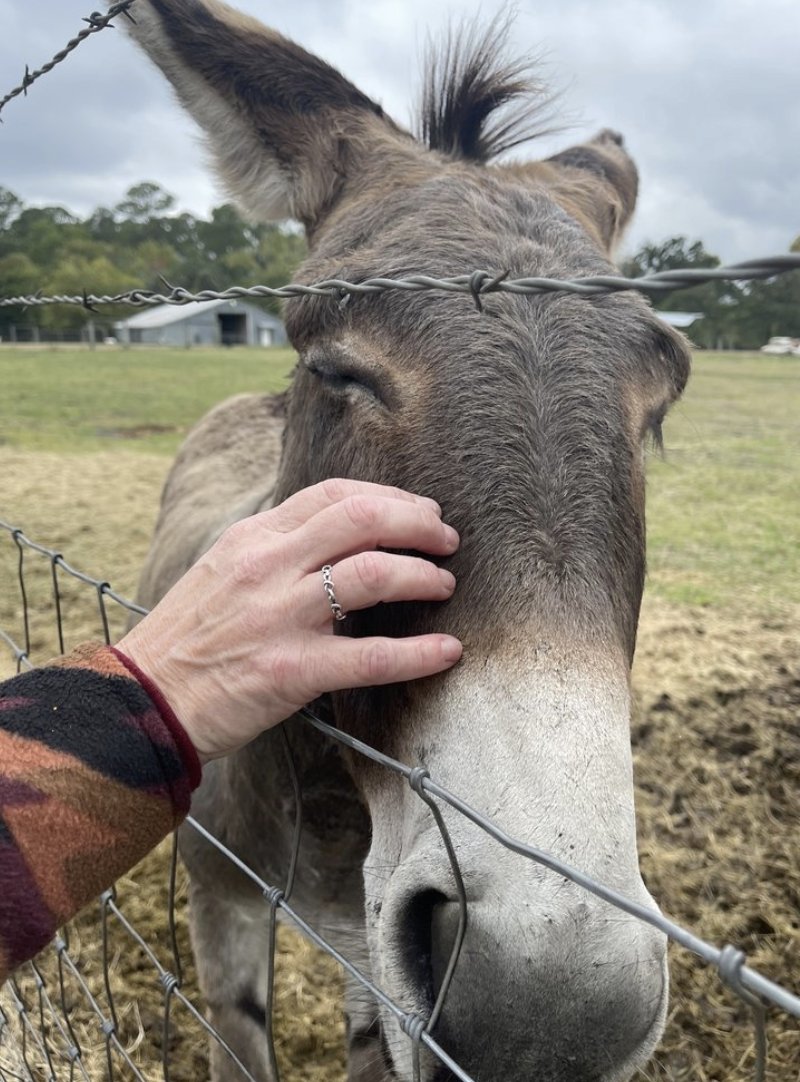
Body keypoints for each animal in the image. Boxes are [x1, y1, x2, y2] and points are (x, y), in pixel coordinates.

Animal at [122, 2, 691, 1079]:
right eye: (335, 369)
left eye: (661, 399)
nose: (551, 1010)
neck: (331, 799)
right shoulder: (220, 897)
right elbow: (237, 1031)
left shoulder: (369, 946)